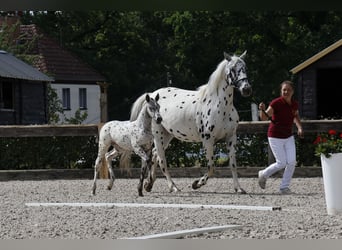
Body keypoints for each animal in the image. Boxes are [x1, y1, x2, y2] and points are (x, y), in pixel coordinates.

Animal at [130, 51, 252, 194]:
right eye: (232, 69)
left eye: (245, 68)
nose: (246, 89)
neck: (220, 106)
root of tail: (152, 95)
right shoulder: (208, 140)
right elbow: (211, 167)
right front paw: (196, 184)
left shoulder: (231, 138)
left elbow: (233, 165)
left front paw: (238, 188)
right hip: (158, 136)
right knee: (161, 160)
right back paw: (173, 187)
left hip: (167, 135)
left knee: (155, 155)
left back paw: (149, 184)